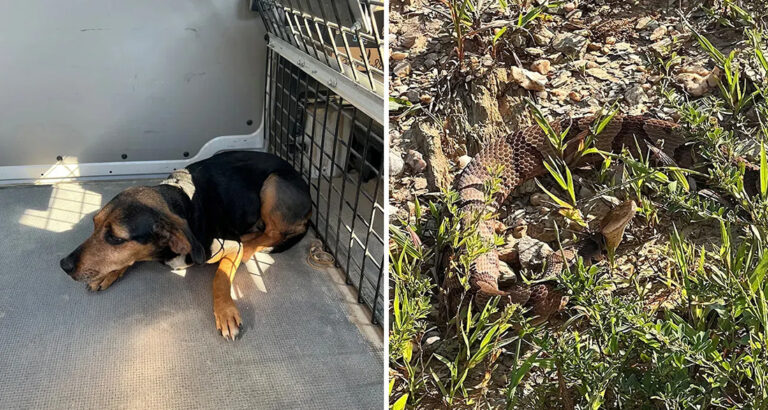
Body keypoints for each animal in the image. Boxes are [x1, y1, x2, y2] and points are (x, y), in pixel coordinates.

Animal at [59, 151, 312, 340]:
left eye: (115, 238)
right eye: (94, 224)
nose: (64, 265)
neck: (180, 202)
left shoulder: (230, 247)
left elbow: (220, 279)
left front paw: (226, 312)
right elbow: (126, 260)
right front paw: (107, 274)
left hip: (273, 182)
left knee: (273, 232)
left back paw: (250, 245)